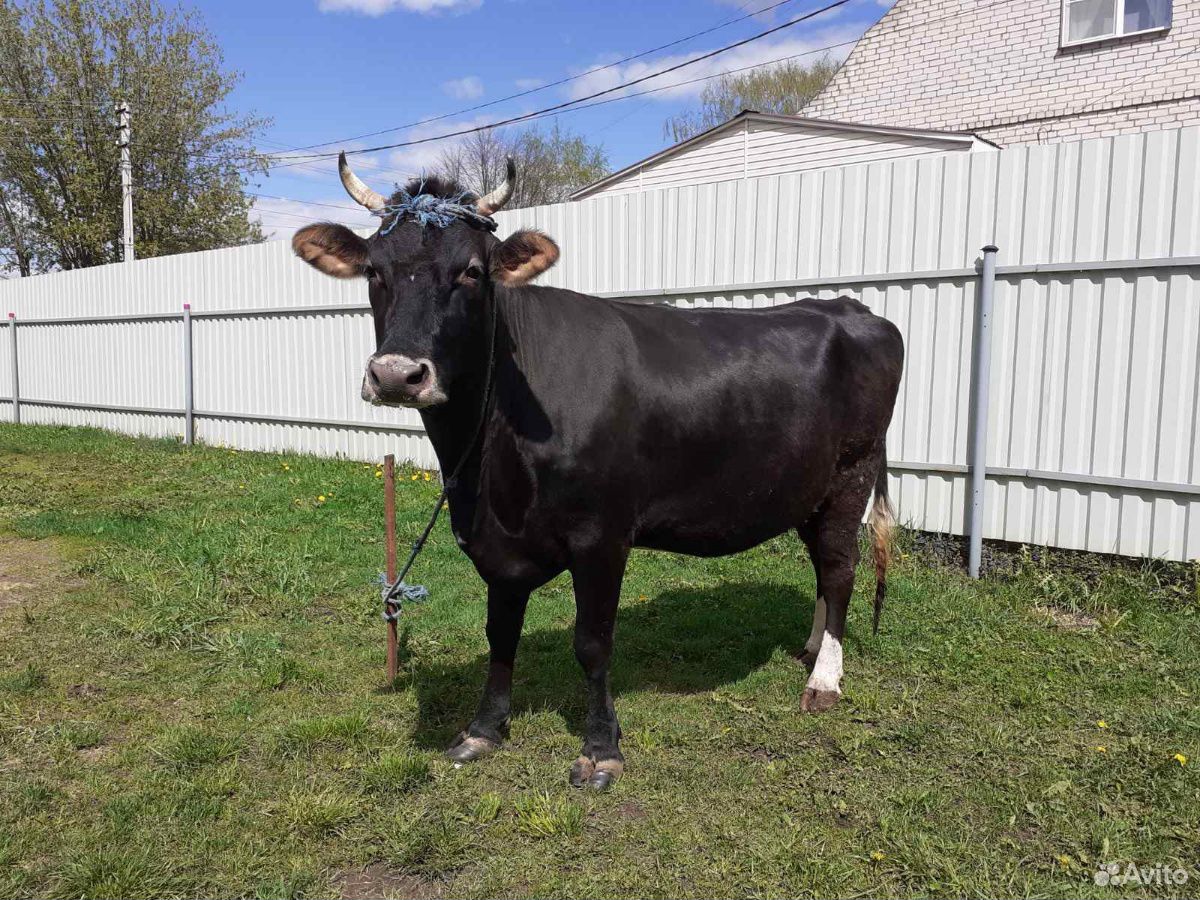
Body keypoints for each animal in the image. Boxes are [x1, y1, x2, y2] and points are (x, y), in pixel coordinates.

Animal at [295, 157, 902, 787]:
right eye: (374, 269)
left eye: (471, 271)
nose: (396, 375)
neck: (486, 467)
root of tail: (848, 307)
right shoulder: (495, 542)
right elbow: (500, 633)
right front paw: (484, 729)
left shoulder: (603, 534)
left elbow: (592, 642)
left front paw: (601, 747)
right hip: (807, 487)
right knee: (821, 567)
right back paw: (810, 648)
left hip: (852, 473)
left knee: (840, 568)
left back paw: (824, 680)